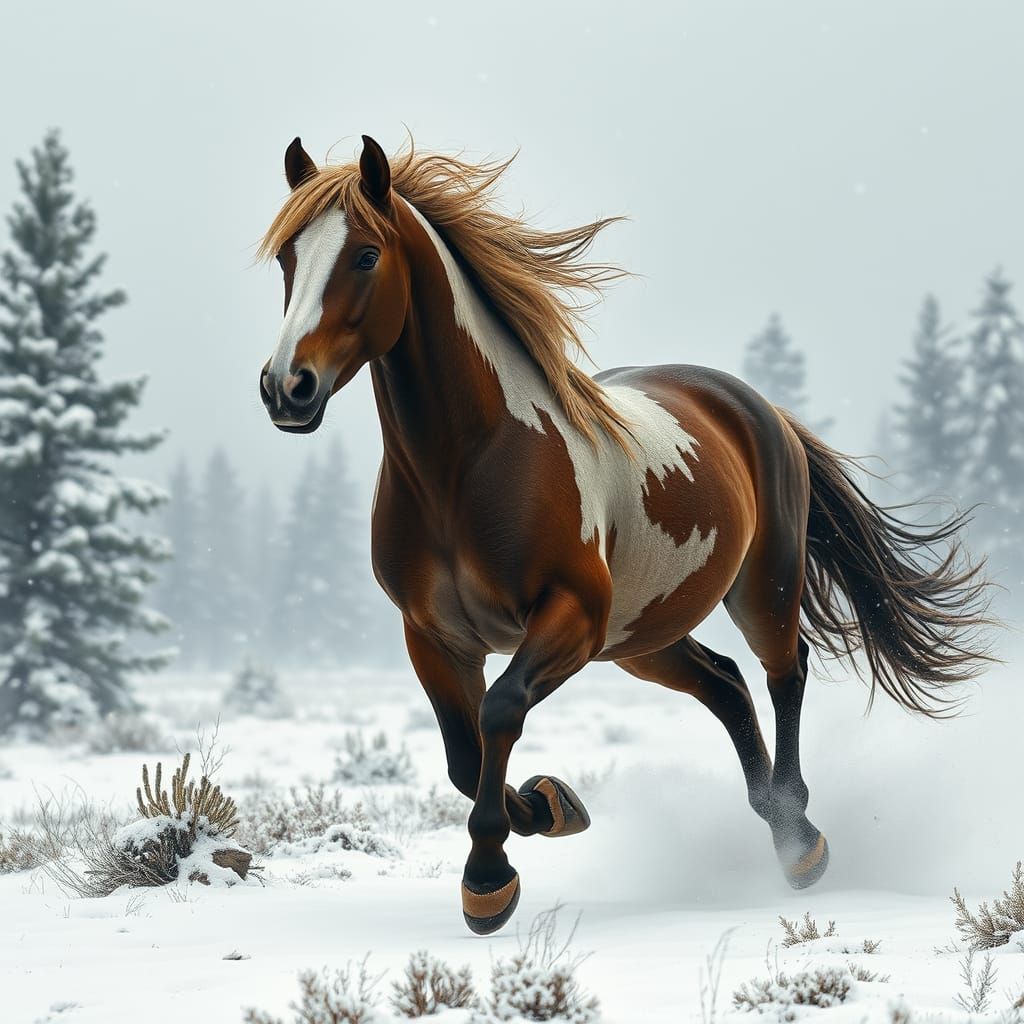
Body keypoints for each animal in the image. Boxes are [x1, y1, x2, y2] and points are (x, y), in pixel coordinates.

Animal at [257, 135, 991, 935]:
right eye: (288, 256)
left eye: (364, 255)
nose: (286, 388)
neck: (468, 465)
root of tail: (758, 407)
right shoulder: (433, 634)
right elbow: (460, 754)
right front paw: (550, 805)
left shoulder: (571, 616)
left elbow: (499, 712)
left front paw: (489, 881)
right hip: (643, 636)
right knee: (725, 684)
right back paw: (772, 818)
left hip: (758, 588)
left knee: (783, 671)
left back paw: (801, 844)